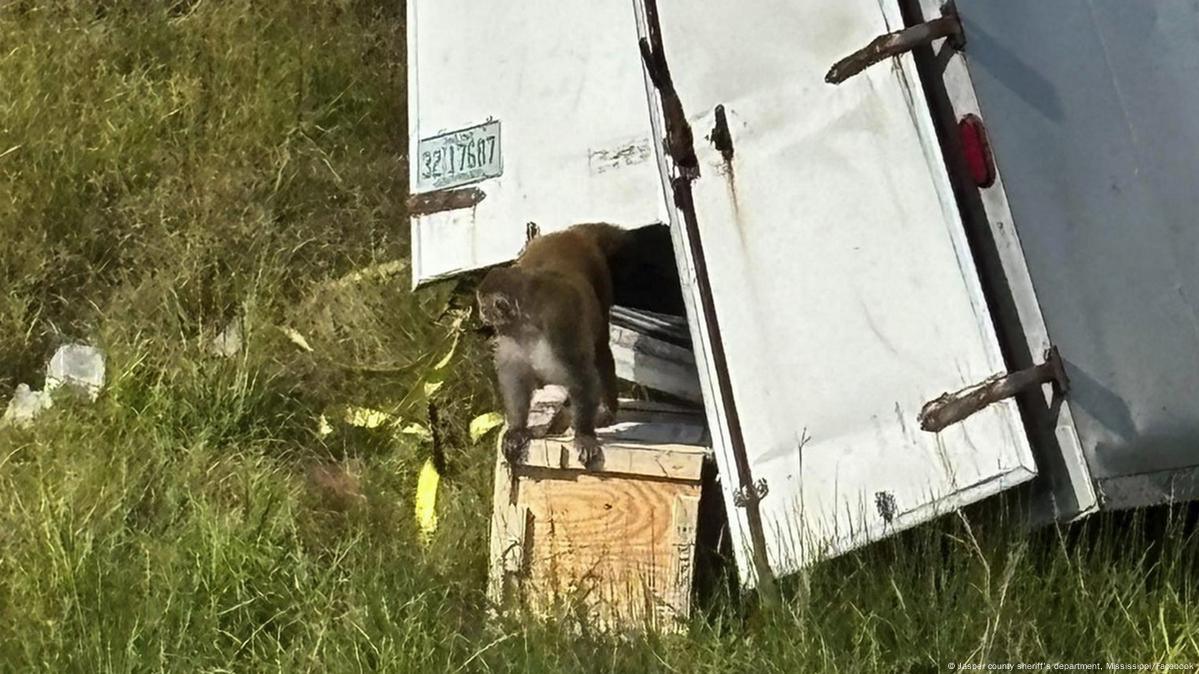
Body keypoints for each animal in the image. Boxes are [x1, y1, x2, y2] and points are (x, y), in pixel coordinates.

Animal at [477, 223, 628, 469]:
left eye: (484, 306)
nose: (481, 314)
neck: (527, 323)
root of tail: (570, 233)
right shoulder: (510, 336)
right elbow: (515, 378)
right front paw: (517, 429)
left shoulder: (559, 324)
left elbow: (581, 375)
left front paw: (584, 435)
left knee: (600, 350)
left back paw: (607, 409)